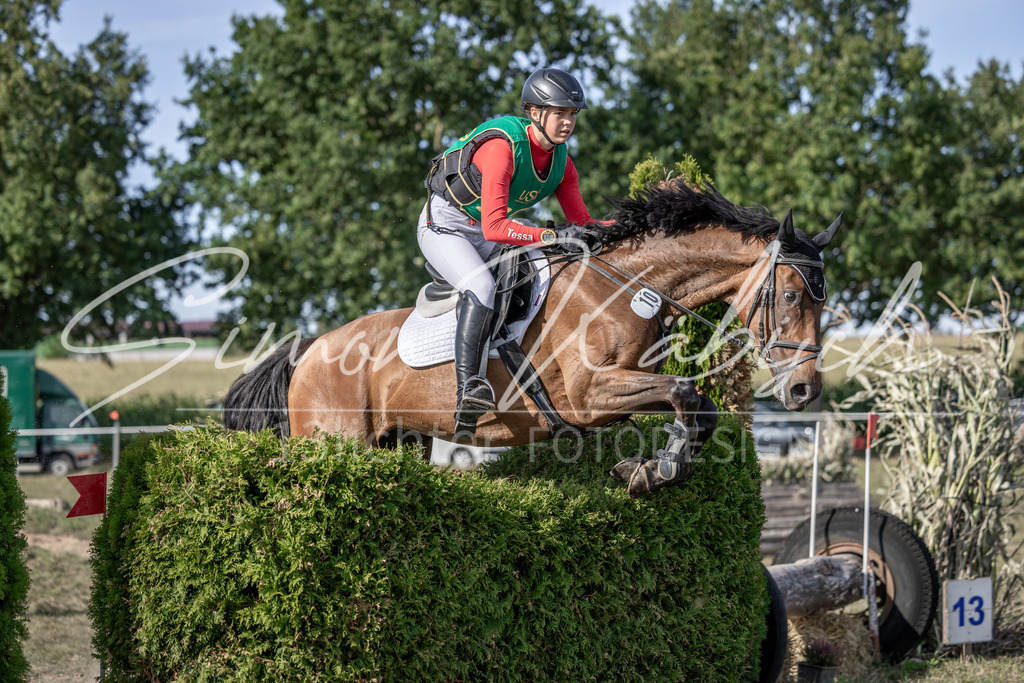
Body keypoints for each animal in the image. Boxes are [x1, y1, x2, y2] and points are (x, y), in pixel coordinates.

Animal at [224, 179, 842, 497]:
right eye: (792, 296)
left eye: (823, 299)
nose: (805, 391)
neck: (623, 287)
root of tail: (308, 350)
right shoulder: (592, 394)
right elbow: (687, 394)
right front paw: (654, 470)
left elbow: (699, 409)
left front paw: (651, 469)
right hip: (335, 439)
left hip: (399, 442)